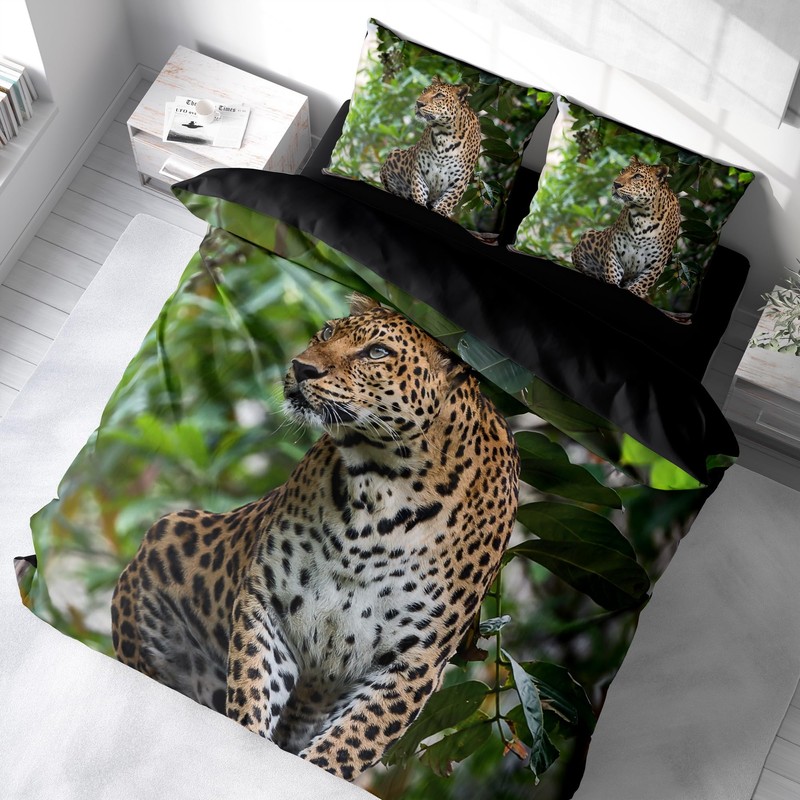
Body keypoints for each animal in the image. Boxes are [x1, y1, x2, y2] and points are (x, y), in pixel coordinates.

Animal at [111, 294, 520, 782]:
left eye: (377, 353)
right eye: (327, 332)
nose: (302, 367)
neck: (382, 491)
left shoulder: (413, 664)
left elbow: (346, 747)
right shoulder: (267, 601)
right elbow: (252, 690)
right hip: (164, 547)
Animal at [379, 77, 482, 218]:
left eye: (439, 96)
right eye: (424, 90)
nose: (418, 103)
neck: (445, 135)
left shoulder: (459, 182)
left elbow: (448, 201)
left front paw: (442, 211)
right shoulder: (420, 170)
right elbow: (419, 190)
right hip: (394, 155)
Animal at [570, 156, 681, 300]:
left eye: (637, 176)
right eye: (622, 171)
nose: (616, 184)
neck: (643, 216)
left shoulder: (656, 265)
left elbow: (642, 284)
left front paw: (635, 290)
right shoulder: (614, 251)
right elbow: (612, 271)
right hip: (588, 236)